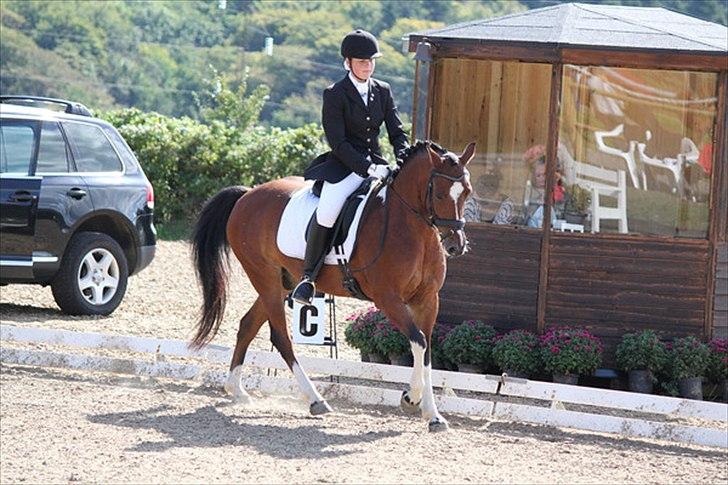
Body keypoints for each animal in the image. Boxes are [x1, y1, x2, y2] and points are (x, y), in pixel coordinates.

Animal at [191, 140, 475, 432]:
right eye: (439, 195)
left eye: (467, 192)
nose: (456, 245)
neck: (411, 228)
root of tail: (247, 195)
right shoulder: (388, 299)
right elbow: (418, 341)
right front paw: (410, 398)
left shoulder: (427, 299)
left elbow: (426, 349)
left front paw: (433, 415)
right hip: (265, 278)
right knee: (281, 337)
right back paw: (315, 400)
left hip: (282, 283)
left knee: (248, 325)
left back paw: (236, 390)